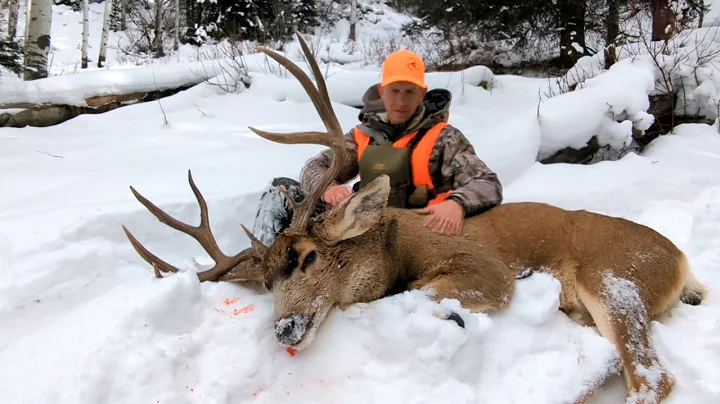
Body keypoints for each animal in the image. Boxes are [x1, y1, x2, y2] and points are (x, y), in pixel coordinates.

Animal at [121, 33, 709, 404]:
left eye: (309, 257)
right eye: (265, 282)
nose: (285, 328)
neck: (395, 248)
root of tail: (681, 260)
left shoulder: (487, 272)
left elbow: (419, 292)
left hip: (615, 279)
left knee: (652, 378)